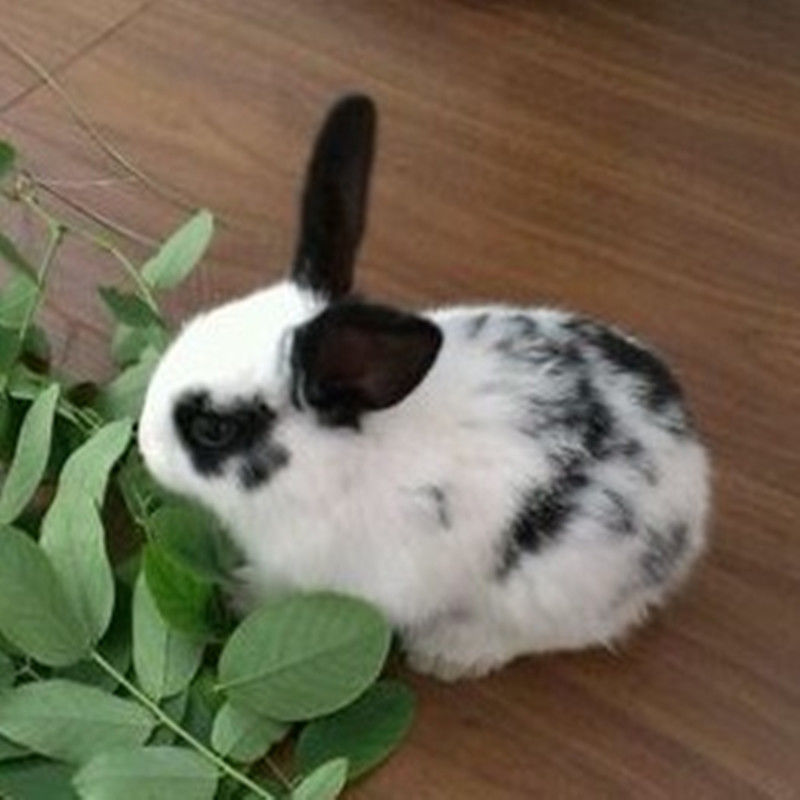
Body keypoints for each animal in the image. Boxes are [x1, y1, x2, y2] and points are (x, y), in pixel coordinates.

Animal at [138, 94, 710, 680]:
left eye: (213, 429)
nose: (143, 445)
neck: (335, 468)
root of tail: (691, 484)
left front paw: (239, 596)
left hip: (548, 588)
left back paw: (448, 652)